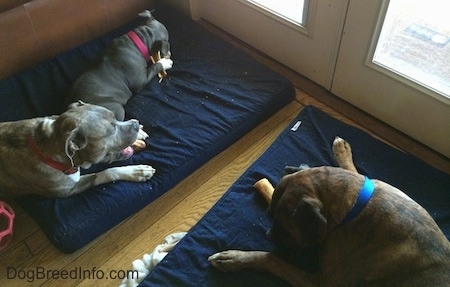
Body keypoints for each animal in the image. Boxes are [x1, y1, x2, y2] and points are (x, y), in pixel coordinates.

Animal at [210, 137, 450, 287]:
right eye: (269, 215)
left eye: (287, 231)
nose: (270, 235)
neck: (356, 205)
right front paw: (342, 152)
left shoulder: (320, 282)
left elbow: (272, 259)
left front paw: (235, 258)